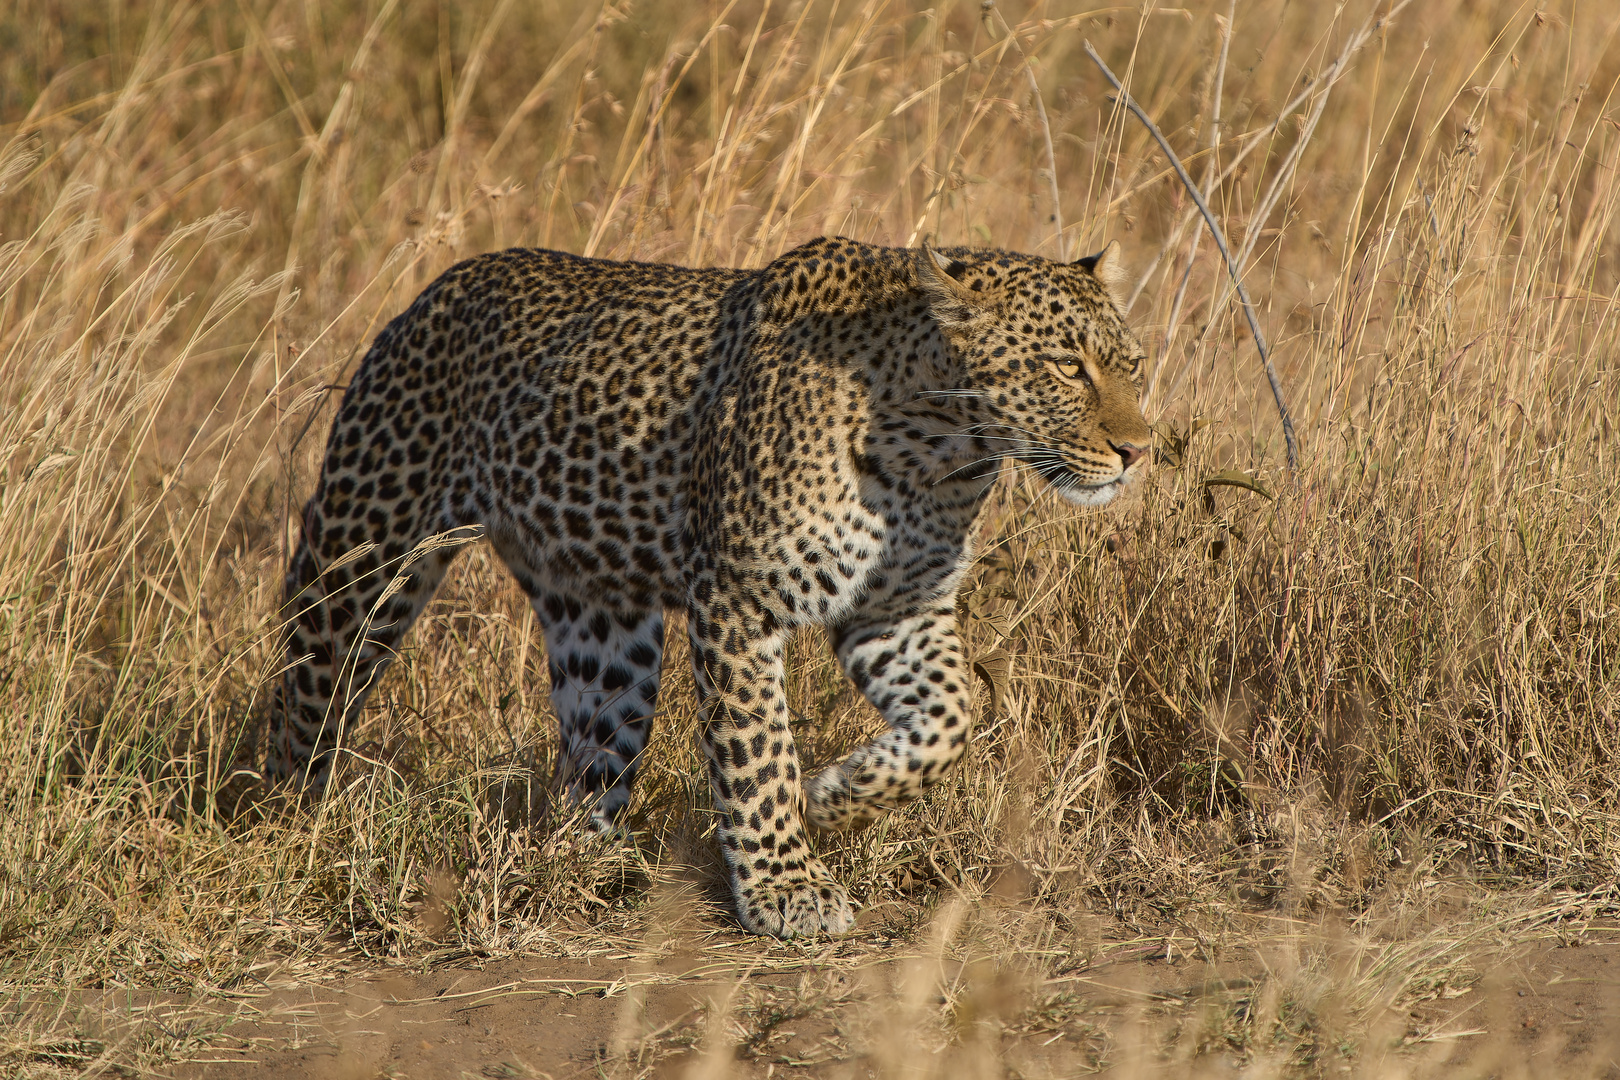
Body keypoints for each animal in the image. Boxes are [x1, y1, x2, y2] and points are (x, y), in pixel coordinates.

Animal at [268, 234, 1153, 939]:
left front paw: (834, 800)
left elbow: (949, 720)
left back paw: (588, 863)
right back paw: (281, 824)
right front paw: (785, 888)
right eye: (1068, 367)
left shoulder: (898, 608)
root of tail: (438, 288)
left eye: (1133, 367)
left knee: (591, 757)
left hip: (605, 631)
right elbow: (757, 751)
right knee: (304, 690)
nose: (1140, 449)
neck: (936, 449)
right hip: (366, 552)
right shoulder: (737, 599)